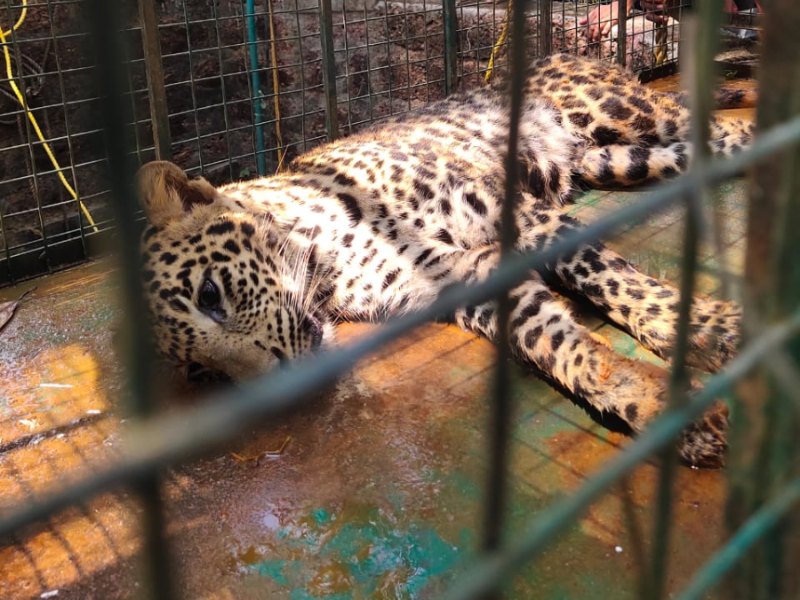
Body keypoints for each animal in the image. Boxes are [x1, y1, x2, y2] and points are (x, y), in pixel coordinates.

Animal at [134, 54, 752, 466]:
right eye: (204, 374)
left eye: (210, 295)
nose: (279, 388)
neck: (328, 260)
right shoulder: (460, 276)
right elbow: (555, 341)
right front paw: (655, 403)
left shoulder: (514, 213)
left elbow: (609, 278)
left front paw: (710, 329)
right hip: (618, 159)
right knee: (713, 143)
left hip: (622, 113)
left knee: (718, 122)